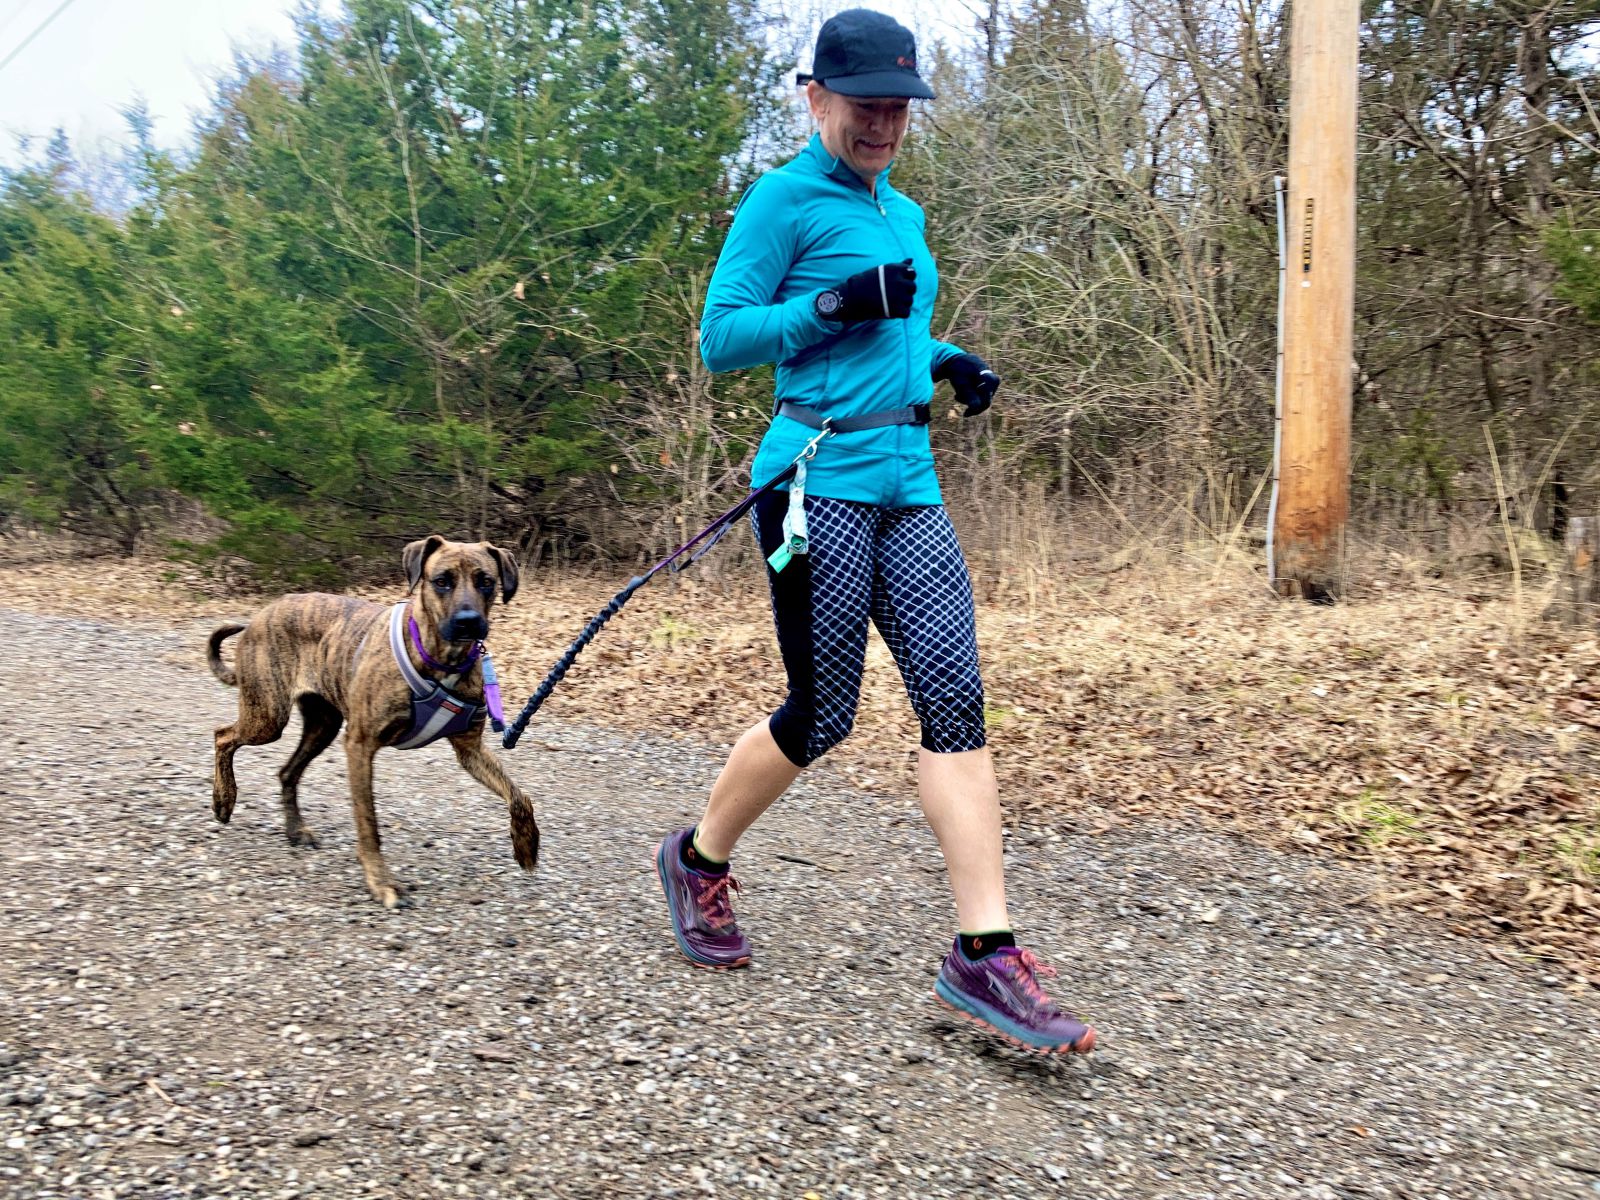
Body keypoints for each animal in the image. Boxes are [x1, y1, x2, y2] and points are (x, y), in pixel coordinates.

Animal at [206, 537, 540, 908]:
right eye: (442, 581)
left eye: (486, 581)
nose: (468, 621)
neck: (443, 658)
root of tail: (262, 613)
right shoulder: (360, 745)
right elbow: (368, 822)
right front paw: (381, 882)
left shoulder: (470, 751)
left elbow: (520, 796)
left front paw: (526, 846)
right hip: (267, 716)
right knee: (223, 736)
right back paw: (223, 800)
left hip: (322, 725)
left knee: (287, 772)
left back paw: (295, 829)